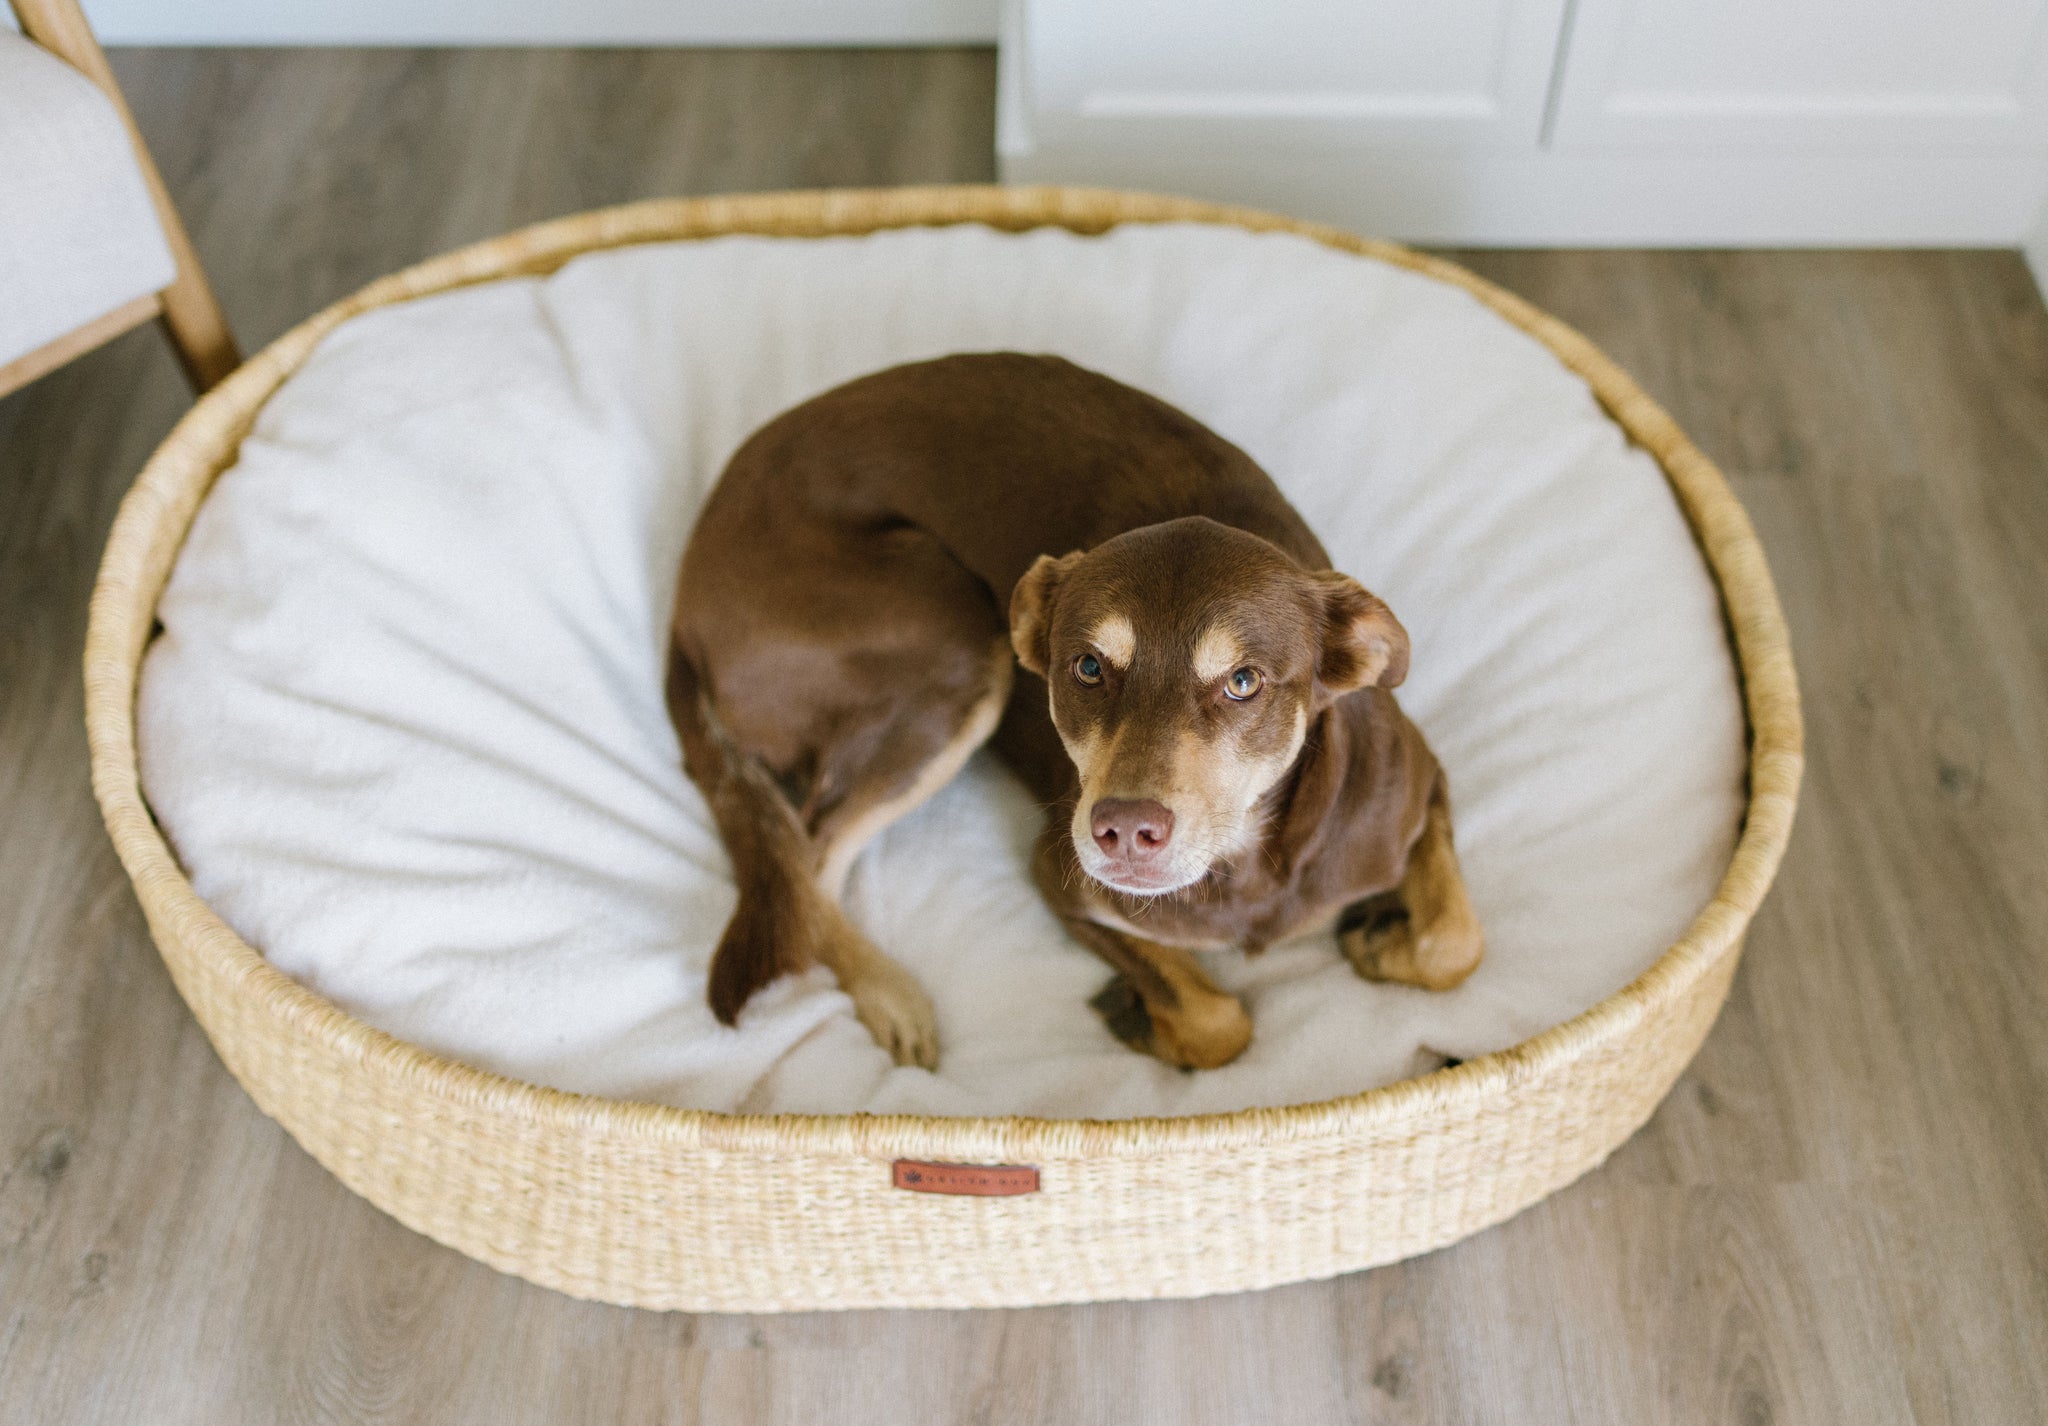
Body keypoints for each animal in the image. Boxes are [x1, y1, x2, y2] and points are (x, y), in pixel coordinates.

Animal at [671, 356, 1490, 1065]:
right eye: (1088, 668)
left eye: (1244, 682)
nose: (1124, 831)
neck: (1246, 866)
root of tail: (684, 601)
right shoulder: (1063, 882)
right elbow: (1217, 1024)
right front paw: (1145, 1015)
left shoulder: (1422, 784)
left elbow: (1455, 941)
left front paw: (1385, 939)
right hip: (958, 647)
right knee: (810, 856)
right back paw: (889, 994)